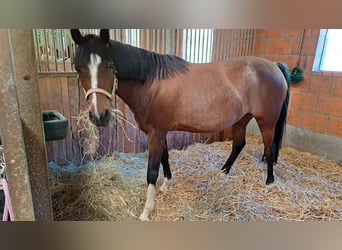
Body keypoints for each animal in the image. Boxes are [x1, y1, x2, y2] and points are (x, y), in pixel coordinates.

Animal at [71, 29, 290, 221]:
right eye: (78, 68)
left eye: (109, 65)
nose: (99, 115)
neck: (151, 82)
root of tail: (274, 65)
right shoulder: (160, 131)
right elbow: (165, 158)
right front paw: (166, 186)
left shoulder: (156, 133)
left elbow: (152, 171)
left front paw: (146, 211)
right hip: (241, 119)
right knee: (239, 144)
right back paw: (223, 171)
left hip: (266, 122)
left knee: (269, 148)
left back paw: (269, 182)